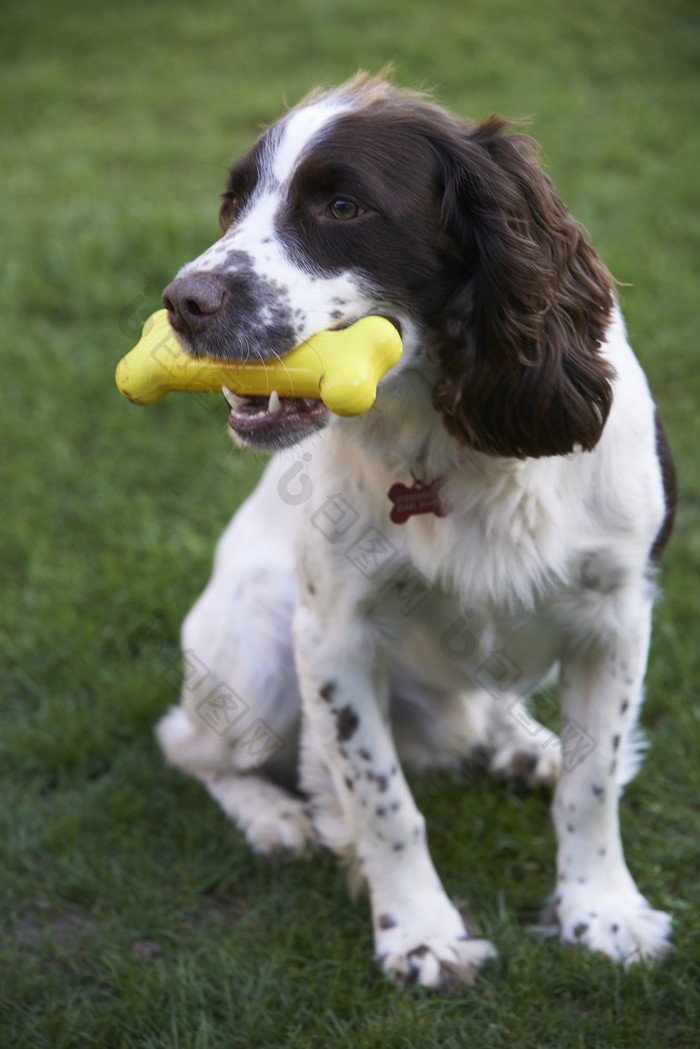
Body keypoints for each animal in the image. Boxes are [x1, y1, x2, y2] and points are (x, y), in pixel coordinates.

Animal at [156, 69, 675, 986]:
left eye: (342, 206)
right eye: (233, 203)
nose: (182, 302)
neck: (456, 450)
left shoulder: (616, 614)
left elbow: (594, 781)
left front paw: (604, 913)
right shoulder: (332, 636)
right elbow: (383, 800)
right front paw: (421, 934)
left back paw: (523, 741)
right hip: (253, 641)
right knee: (190, 746)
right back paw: (273, 816)